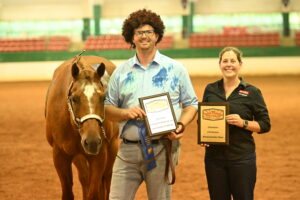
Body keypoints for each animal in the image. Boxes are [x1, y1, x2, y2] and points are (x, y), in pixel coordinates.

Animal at [45, 53, 119, 200]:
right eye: (74, 98)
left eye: (103, 98)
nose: (92, 141)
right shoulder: (60, 155)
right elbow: (69, 192)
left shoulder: (99, 155)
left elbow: (94, 192)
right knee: (85, 178)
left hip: (113, 146)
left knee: (107, 179)